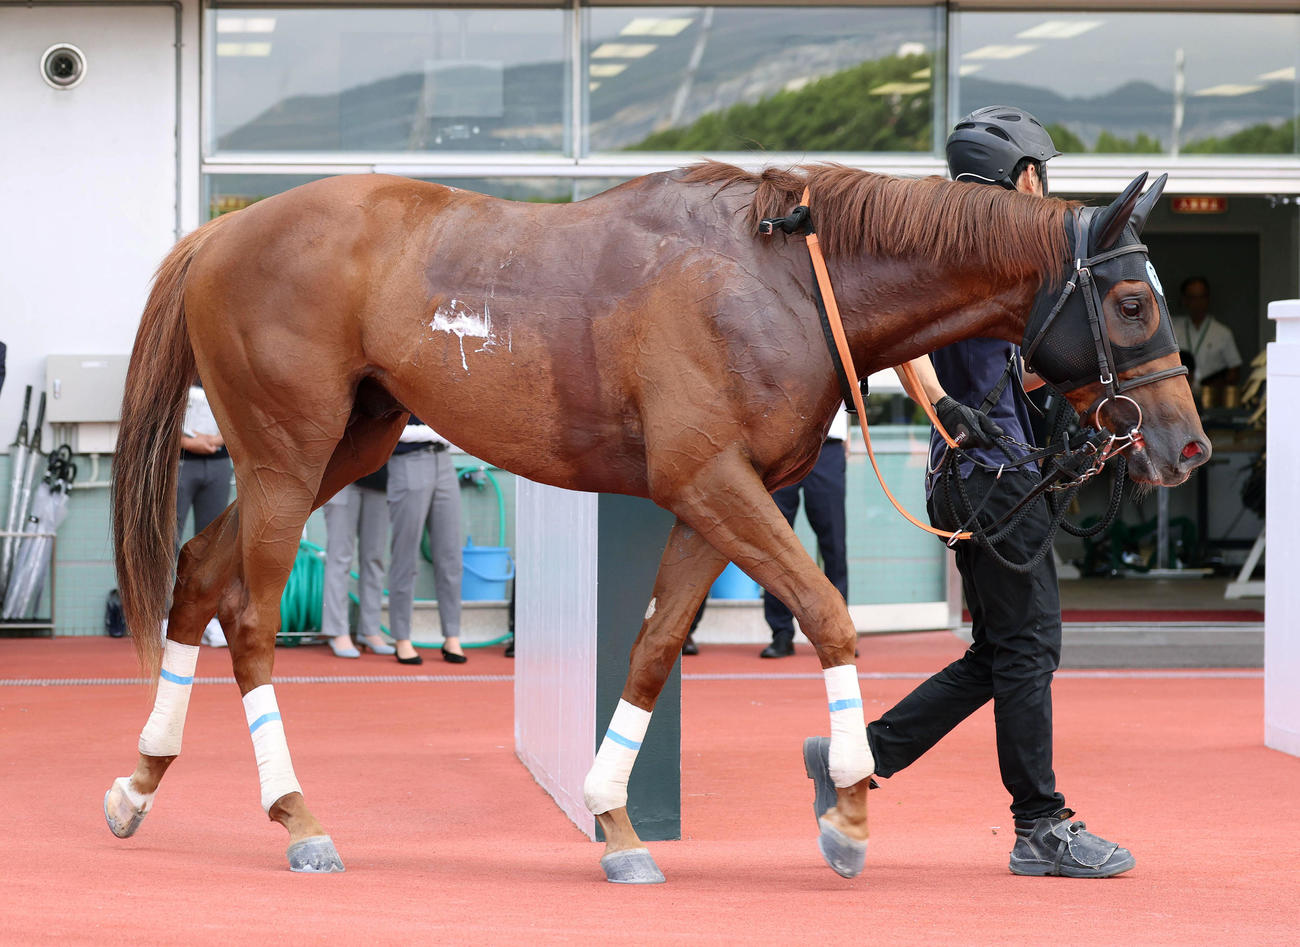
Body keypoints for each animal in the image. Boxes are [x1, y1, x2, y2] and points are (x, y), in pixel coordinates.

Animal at [103, 162, 1209, 883]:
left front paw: (617, 821)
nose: (1187, 445)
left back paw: (140, 781)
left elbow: (652, 646)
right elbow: (827, 612)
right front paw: (849, 805)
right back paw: (297, 817)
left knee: (198, 573)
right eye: (1129, 303)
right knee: (249, 618)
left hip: (345, 443)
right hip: (287, 453)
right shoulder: (713, 481)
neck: (782, 277)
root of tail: (219, 231)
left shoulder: (710, 500)